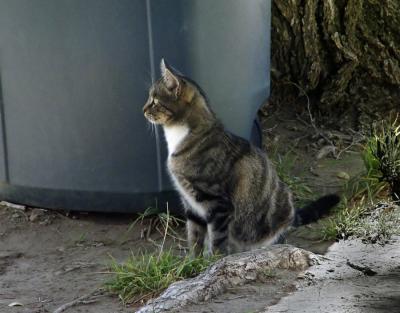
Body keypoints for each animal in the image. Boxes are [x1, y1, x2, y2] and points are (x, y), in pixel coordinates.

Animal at [142, 59, 340, 255]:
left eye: (154, 100)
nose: (143, 109)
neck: (182, 135)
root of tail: (292, 215)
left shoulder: (218, 203)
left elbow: (217, 240)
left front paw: (213, 260)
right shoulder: (190, 205)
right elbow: (194, 236)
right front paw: (193, 260)